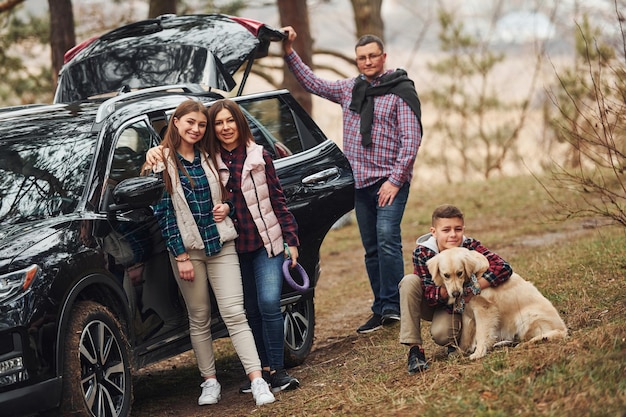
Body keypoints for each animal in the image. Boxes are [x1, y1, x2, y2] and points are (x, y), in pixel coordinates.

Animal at [424, 245, 564, 360]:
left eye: (460, 273)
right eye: (446, 275)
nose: (456, 294)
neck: (473, 277)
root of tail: (563, 329)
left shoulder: (484, 310)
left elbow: (481, 334)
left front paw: (479, 353)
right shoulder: (467, 314)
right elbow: (465, 336)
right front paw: (460, 352)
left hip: (526, 316)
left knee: (534, 337)